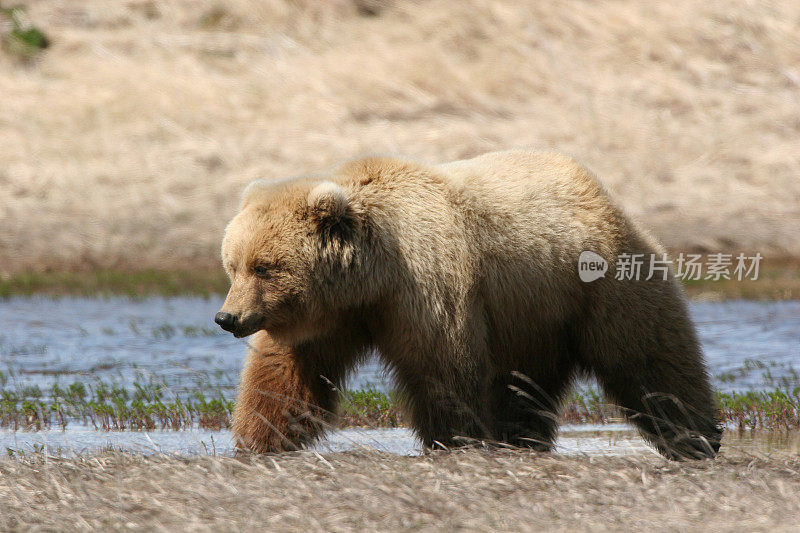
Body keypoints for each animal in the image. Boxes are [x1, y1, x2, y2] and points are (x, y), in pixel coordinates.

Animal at [216, 150, 720, 458]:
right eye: (233, 264)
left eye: (264, 267)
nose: (227, 317)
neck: (370, 283)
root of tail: (597, 190)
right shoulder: (328, 319)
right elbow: (284, 377)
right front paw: (257, 440)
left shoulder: (428, 289)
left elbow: (444, 373)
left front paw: (453, 441)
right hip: (531, 316)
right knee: (523, 387)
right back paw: (522, 440)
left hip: (597, 285)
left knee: (649, 356)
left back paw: (696, 436)